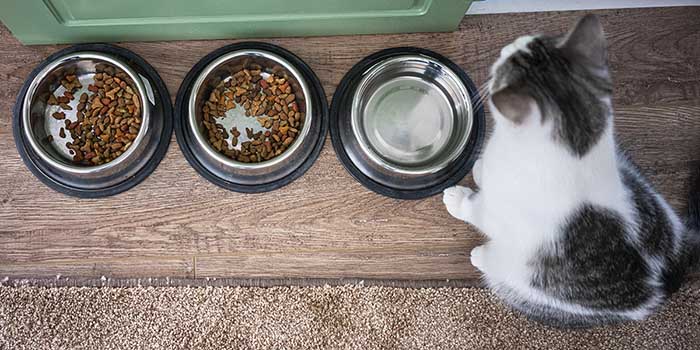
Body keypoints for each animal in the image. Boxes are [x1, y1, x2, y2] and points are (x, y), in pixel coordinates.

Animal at [442, 14, 700, 328]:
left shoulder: (499, 212)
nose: (505, 47)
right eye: (530, 41)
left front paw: (457, 198)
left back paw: (483, 256)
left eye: (504, 68)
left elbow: (474, 208)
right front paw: (479, 170)